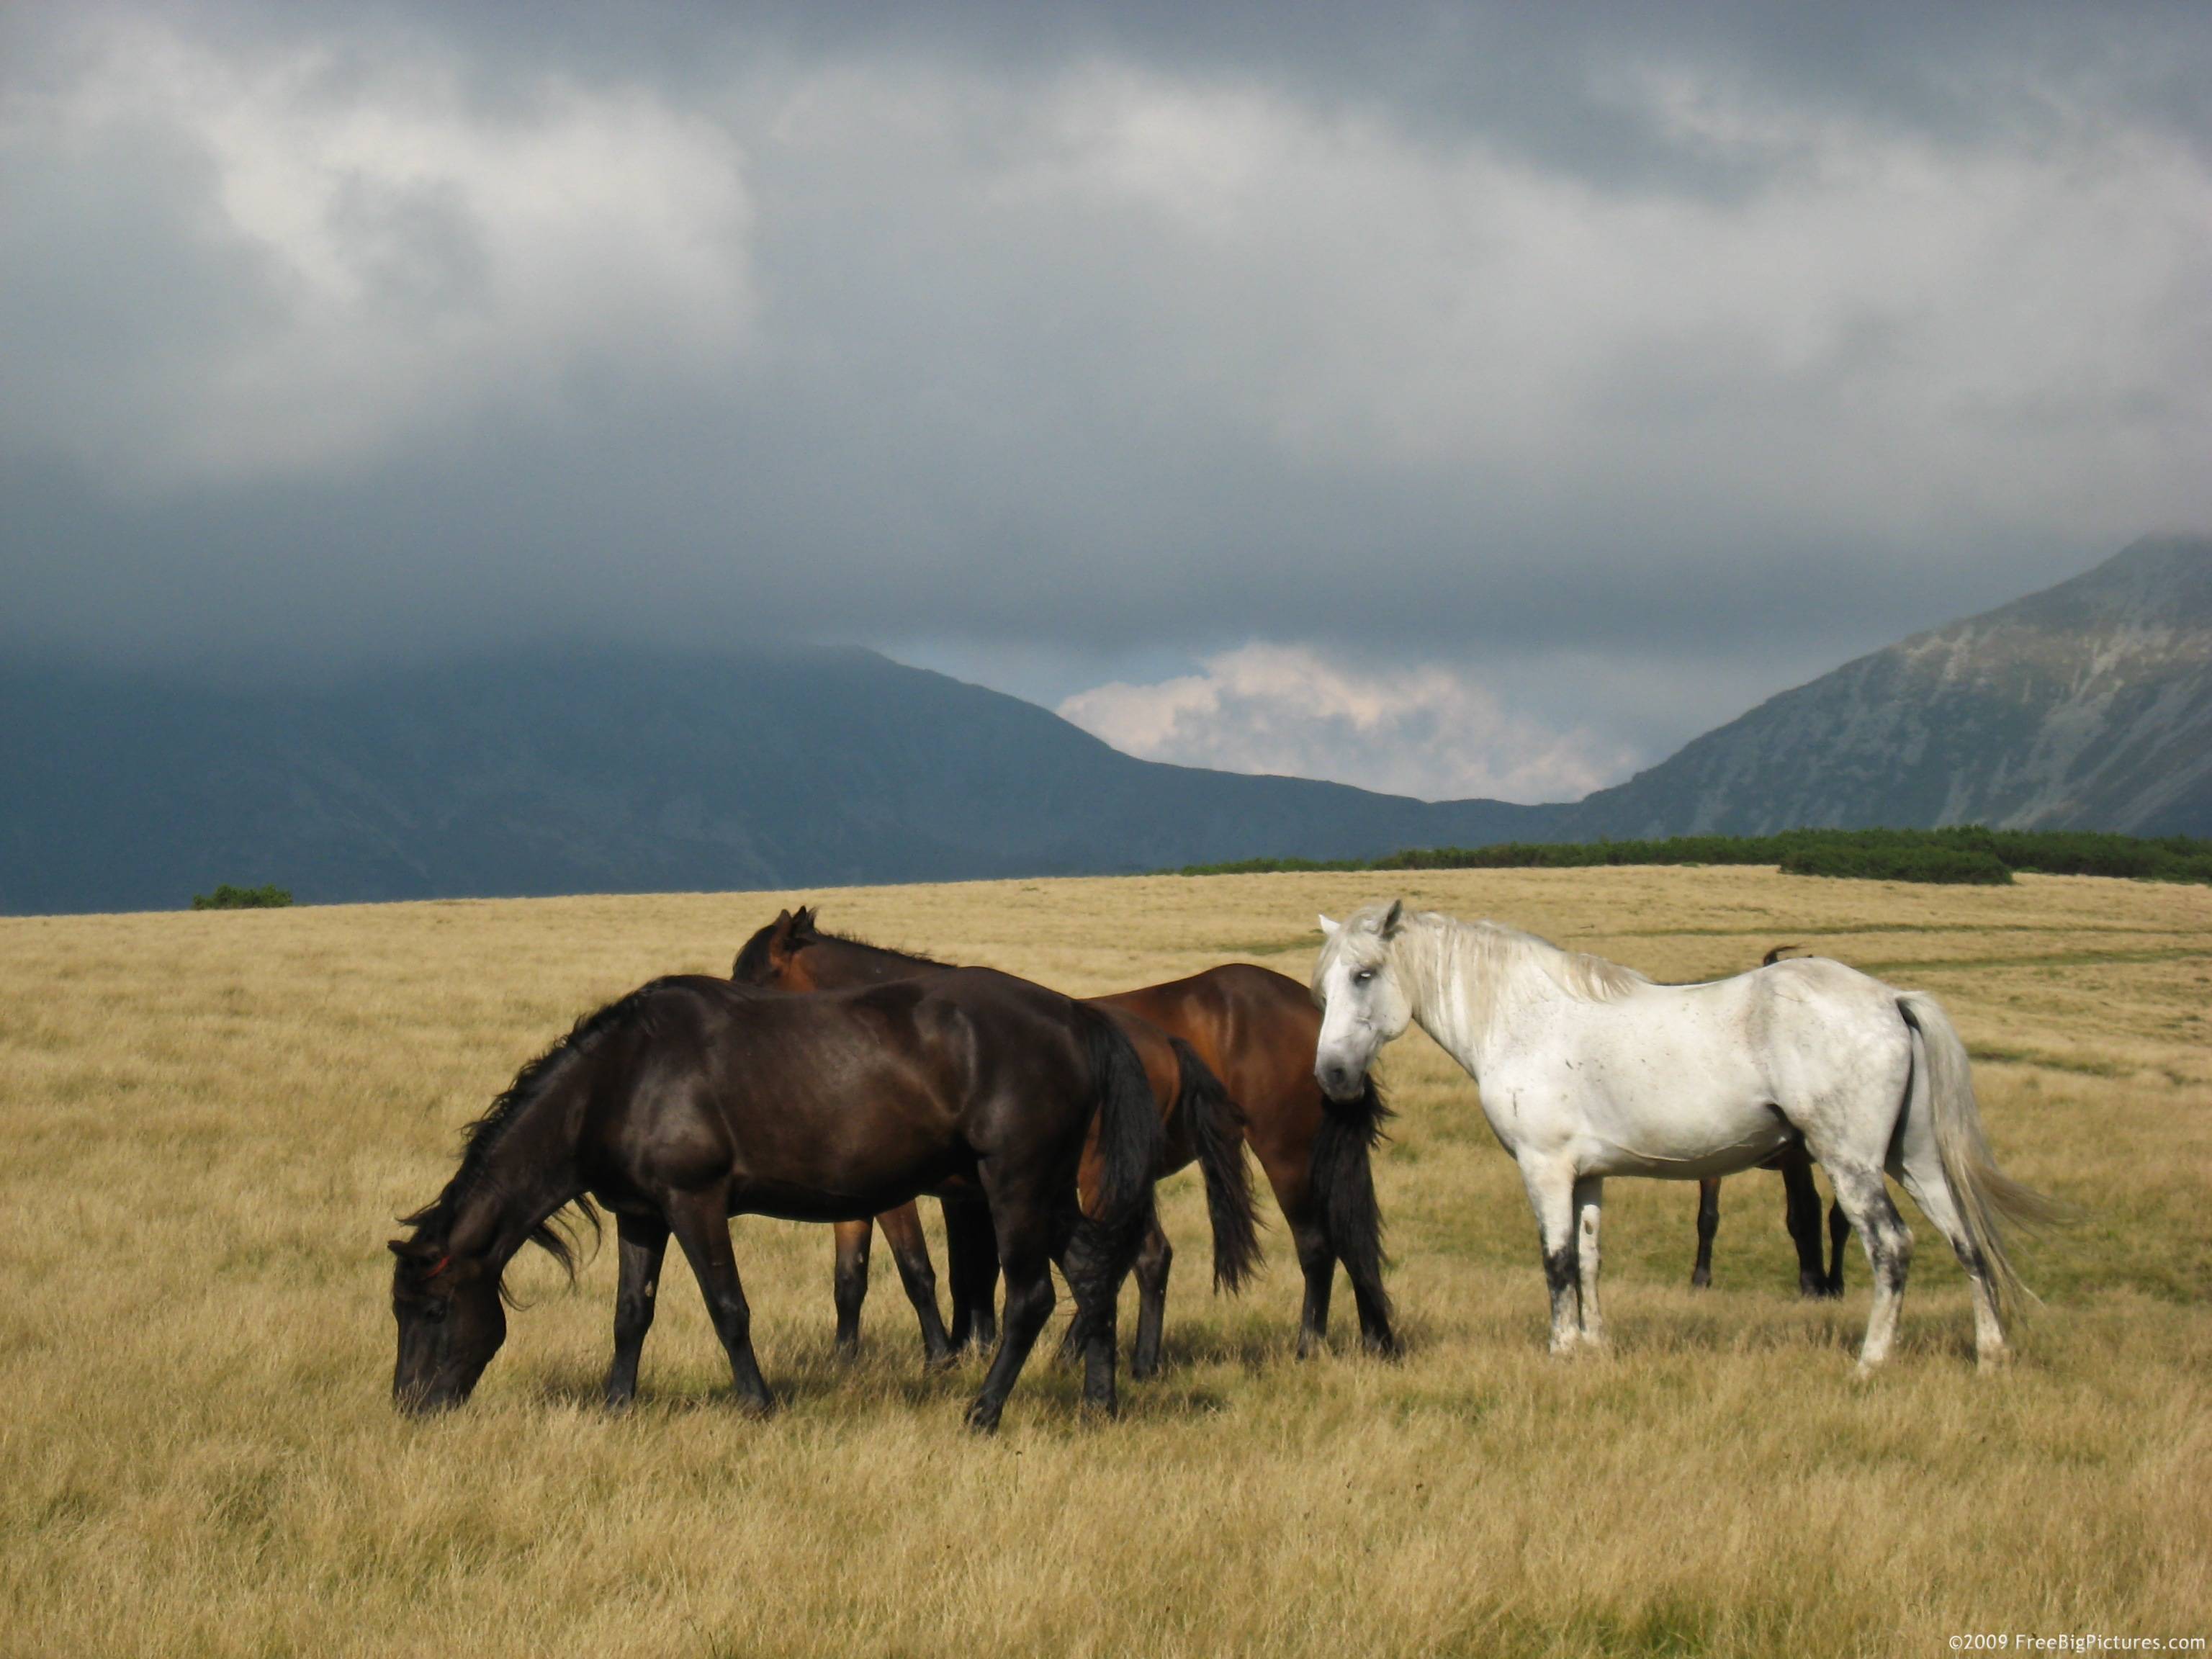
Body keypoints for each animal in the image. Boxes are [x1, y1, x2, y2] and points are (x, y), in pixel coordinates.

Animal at [388, 968, 1162, 1431]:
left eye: (433, 1311)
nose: (409, 1407)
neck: (623, 1079)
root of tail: (1074, 1017)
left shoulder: (694, 1203)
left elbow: (728, 1309)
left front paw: (757, 1404)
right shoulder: (641, 1216)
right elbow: (631, 1316)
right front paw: (617, 1408)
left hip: (1015, 1186)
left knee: (1030, 1299)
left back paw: (983, 1413)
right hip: (1048, 1191)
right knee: (1093, 1276)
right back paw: (1099, 1404)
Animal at [734, 906, 1395, 1370]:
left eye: (756, 974)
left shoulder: (921, 1196)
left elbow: (927, 1270)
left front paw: (945, 1354)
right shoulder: (945, 1196)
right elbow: (871, 1276)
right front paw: (859, 1358)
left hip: (1280, 1152)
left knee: (1313, 1244)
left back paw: (1301, 1344)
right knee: (1348, 1239)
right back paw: (1374, 1338)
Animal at [1312, 901, 2052, 1372]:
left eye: (1364, 976)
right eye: (1323, 990)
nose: (1333, 1075)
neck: (1524, 1019)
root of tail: (1890, 1000)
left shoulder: (1544, 1168)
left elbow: (1555, 1261)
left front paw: (1560, 1351)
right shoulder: (1588, 1175)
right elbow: (1589, 1261)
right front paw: (1595, 1348)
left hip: (1852, 1164)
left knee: (1892, 1248)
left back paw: (1871, 1363)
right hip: (1916, 1161)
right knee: (1966, 1242)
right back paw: (1991, 1355)